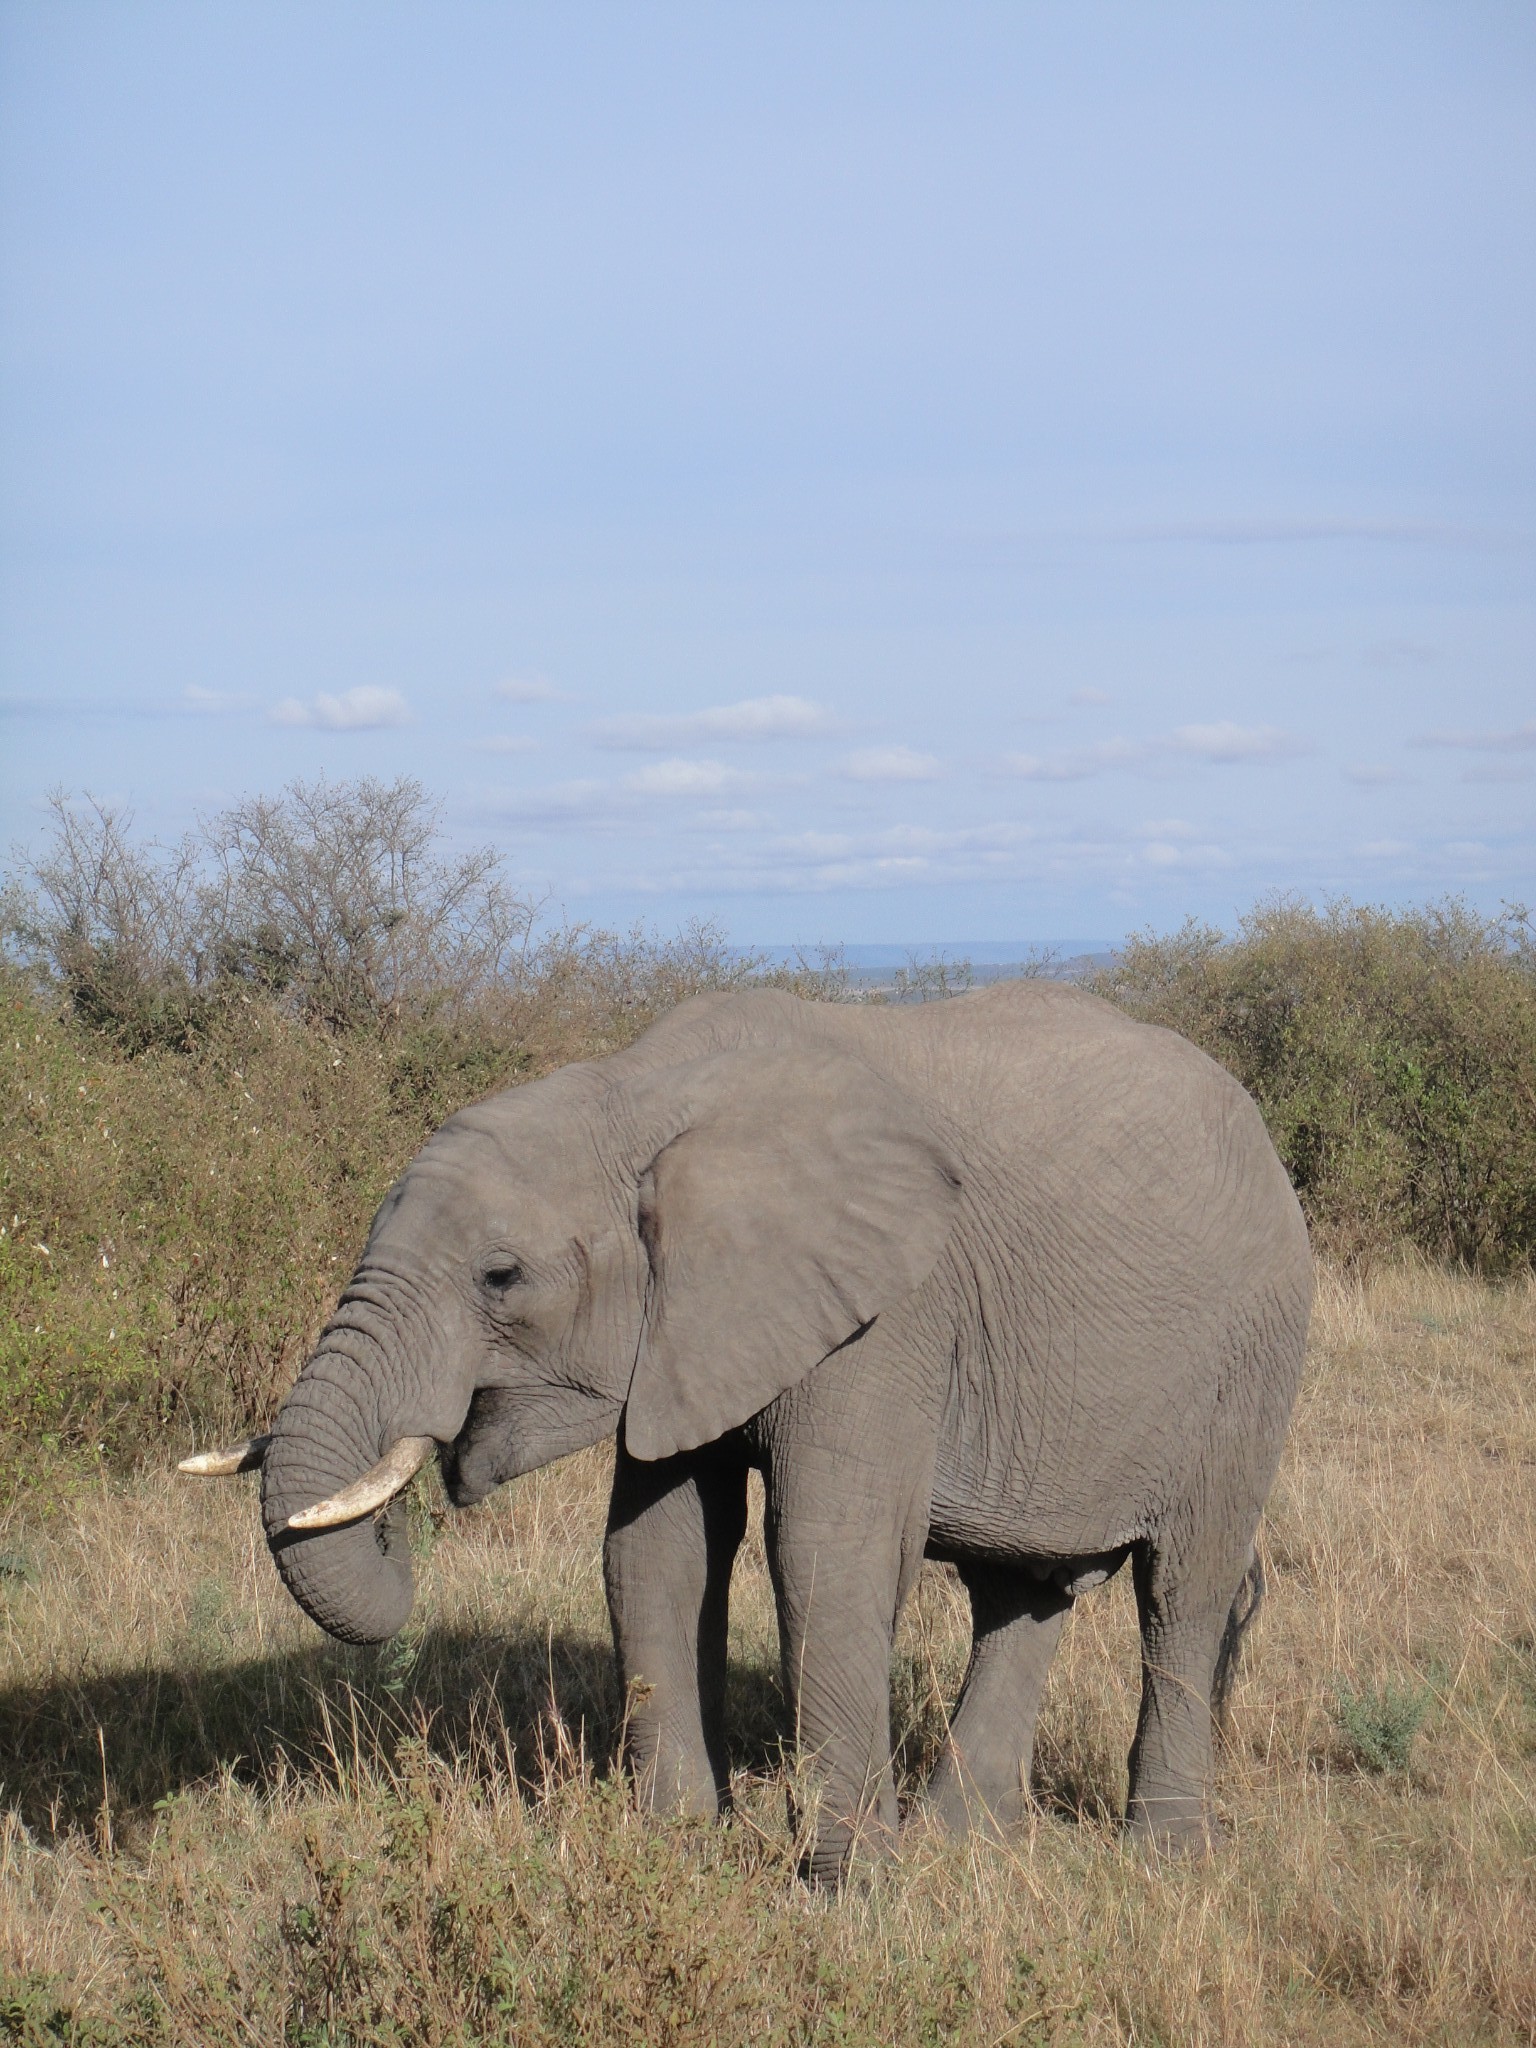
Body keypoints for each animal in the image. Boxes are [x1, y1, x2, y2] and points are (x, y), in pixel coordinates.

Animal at [180, 983, 1310, 1875]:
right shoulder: (687, 1325)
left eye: (501, 1277)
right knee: (1021, 1592)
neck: (639, 1092)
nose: (421, 1488)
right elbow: (656, 1550)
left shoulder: (891, 1309)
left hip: (1252, 1357)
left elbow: (826, 1551)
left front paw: (849, 1895)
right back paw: (964, 1842)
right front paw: (679, 1846)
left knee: (1185, 1587)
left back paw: (1163, 1859)